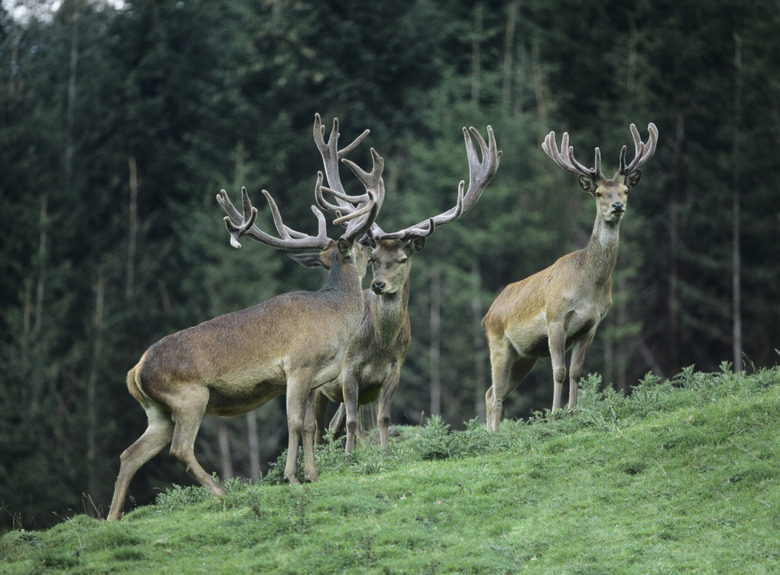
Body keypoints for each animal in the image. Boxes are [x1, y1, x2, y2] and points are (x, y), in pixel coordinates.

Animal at [106, 115, 380, 520]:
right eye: (361, 244)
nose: (375, 246)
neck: (335, 317)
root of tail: (136, 370)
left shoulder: (315, 376)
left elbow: (309, 425)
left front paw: (313, 476)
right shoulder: (298, 365)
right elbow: (294, 423)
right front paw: (292, 477)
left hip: (157, 410)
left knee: (130, 453)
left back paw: (110, 519)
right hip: (189, 397)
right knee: (179, 448)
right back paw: (222, 492)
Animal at [310, 119, 500, 454]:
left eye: (401, 258)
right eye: (373, 258)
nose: (377, 285)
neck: (378, 347)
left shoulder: (394, 371)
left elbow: (383, 418)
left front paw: (385, 454)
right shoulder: (348, 370)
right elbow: (352, 421)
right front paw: (348, 459)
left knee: (331, 427)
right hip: (318, 383)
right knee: (318, 430)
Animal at [484, 121, 656, 430]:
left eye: (625, 190)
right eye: (598, 193)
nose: (617, 206)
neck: (588, 286)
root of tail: (487, 315)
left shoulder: (591, 325)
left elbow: (576, 372)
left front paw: (574, 412)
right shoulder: (555, 319)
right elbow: (559, 371)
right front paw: (554, 414)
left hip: (524, 356)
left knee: (492, 391)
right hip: (498, 344)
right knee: (495, 392)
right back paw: (492, 434)